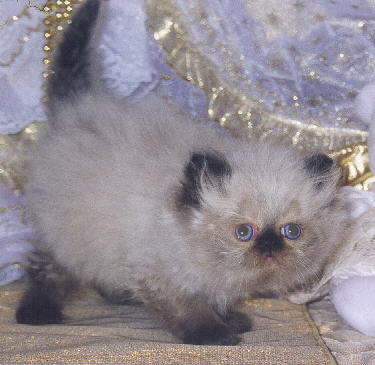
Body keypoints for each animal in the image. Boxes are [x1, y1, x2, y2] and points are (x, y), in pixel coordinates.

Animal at [14, 0, 350, 344]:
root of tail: (75, 109)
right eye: (244, 232)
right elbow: (190, 310)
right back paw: (37, 314)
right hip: (64, 234)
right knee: (45, 271)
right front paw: (214, 335)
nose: (269, 246)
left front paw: (232, 321)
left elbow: (216, 300)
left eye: (291, 231)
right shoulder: (161, 275)